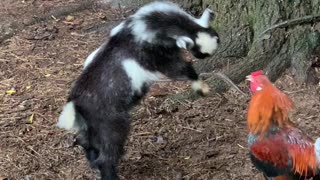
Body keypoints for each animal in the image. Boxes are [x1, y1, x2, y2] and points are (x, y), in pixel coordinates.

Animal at [57, 1, 220, 180]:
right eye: (198, 50)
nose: (205, 56)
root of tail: (76, 104)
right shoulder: (160, 59)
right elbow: (183, 70)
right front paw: (202, 87)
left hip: (91, 128)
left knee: (88, 144)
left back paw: (92, 161)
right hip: (112, 125)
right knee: (106, 156)